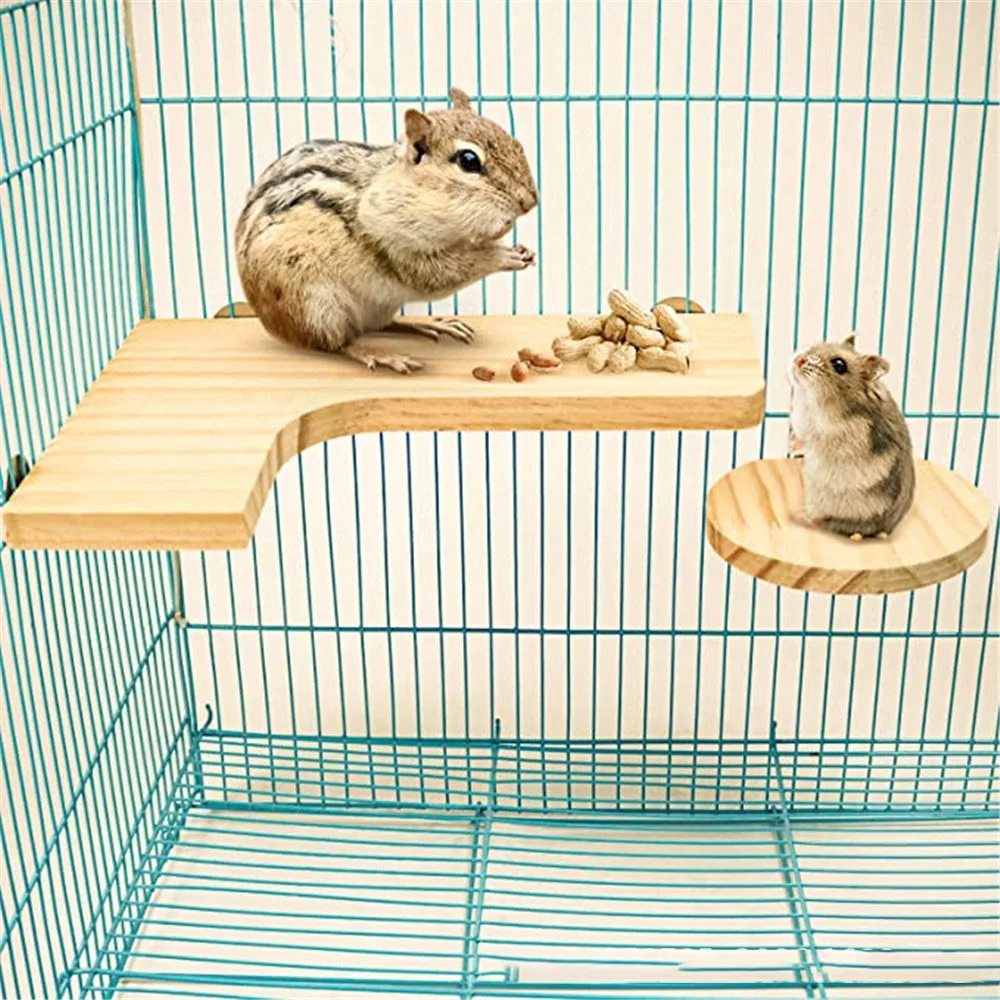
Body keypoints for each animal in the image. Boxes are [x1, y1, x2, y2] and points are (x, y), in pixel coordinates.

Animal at [235, 88, 538, 373]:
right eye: (468, 160)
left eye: (516, 143)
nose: (530, 202)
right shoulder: (395, 245)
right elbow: (440, 273)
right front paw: (503, 256)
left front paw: (523, 249)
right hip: (317, 306)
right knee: (338, 343)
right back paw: (381, 355)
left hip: (375, 306)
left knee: (383, 325)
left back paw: (429, 326)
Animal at [788, 335, 916, 539]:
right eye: (821, 343)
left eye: (839, 364)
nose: (799, 360)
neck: (813, 401)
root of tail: (885, 529)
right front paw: (791, 444)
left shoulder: (844, 436)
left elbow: (814, 441)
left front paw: (797, 446)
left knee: (831, 523)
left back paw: (800, 517)